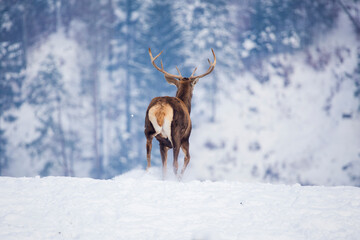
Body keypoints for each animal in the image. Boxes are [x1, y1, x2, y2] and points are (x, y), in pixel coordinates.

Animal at [144, 47, 217, 178]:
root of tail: (161, 107)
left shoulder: (163, 145)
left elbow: (164, 167)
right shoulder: (186, 137)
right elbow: (188, 158)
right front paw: (180, 178)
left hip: (149, 128)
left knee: (149, 158)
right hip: (176, 133)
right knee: (175, 164)